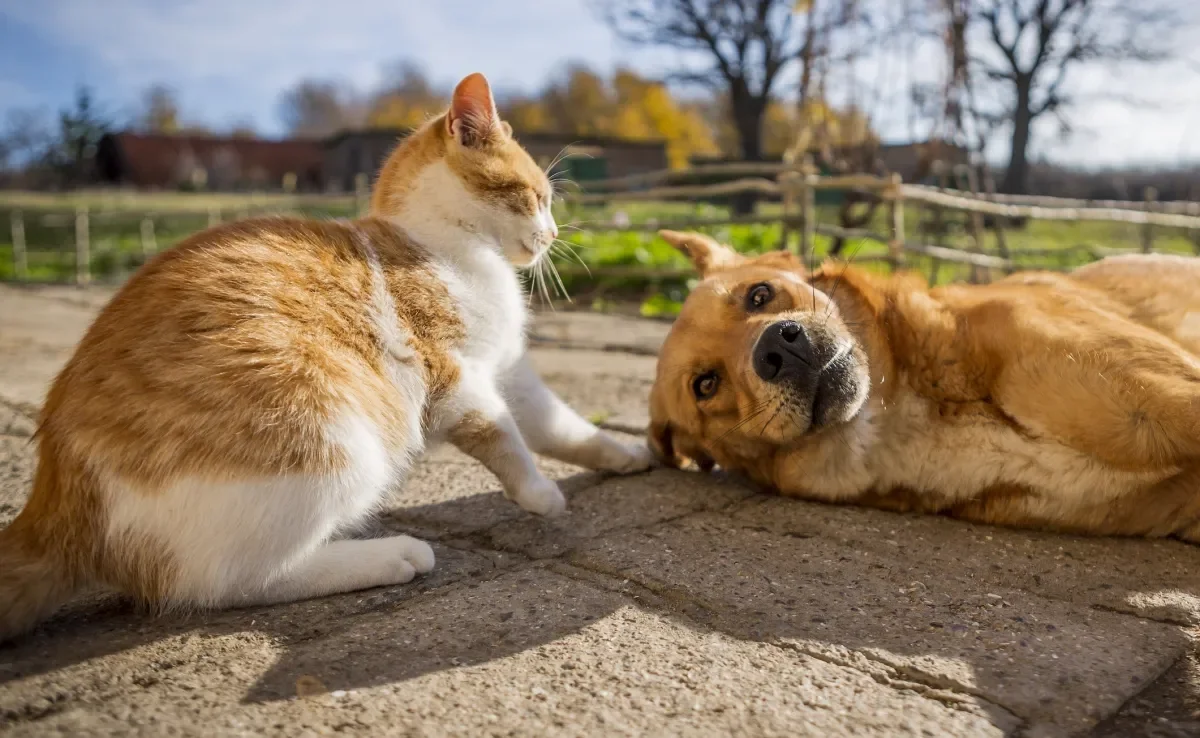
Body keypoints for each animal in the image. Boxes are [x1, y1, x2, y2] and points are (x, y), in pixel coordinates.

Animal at [0, 73, 652, 643]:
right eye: (536, 197)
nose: (552, 234)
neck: (448, 247)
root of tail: (54, 501)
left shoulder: (508, 370)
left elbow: (557, 425)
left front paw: (622, 453)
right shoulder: (455, 377)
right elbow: (503, 438)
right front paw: (541, 495)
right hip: (331, 438)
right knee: (223, 582)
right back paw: (391, 555)